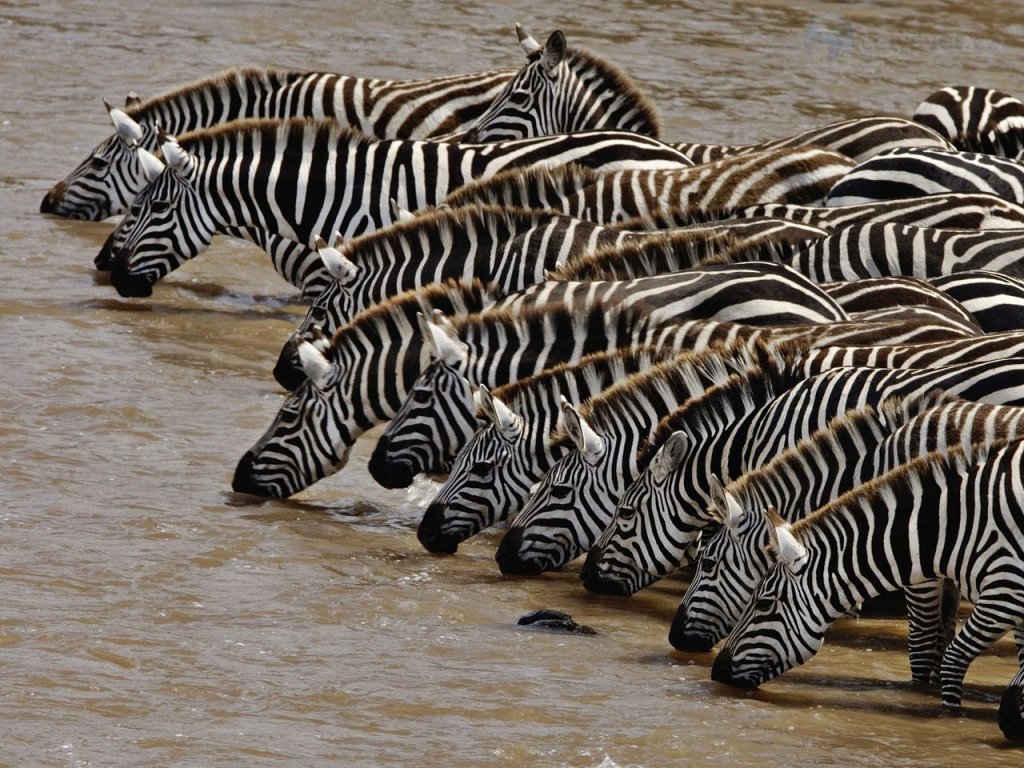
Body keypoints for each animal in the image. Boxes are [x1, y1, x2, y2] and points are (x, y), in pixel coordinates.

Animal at [710, 437, 1024, 742]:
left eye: (763, 603)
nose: (716, 670)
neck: (946, 529)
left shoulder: (1004, 592)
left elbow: (952, 661)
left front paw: (951, 718)